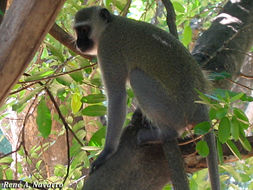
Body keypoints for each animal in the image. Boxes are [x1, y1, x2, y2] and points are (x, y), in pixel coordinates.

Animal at [74, 6, 219, 190]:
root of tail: (198, 106)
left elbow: (117, 96)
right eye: (77, 31)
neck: (109, 26)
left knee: (136, 77)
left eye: (84, 30)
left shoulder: (108, 48)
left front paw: (106, 153)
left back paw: (166, 133)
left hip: (174, 109)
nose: (78, 42)